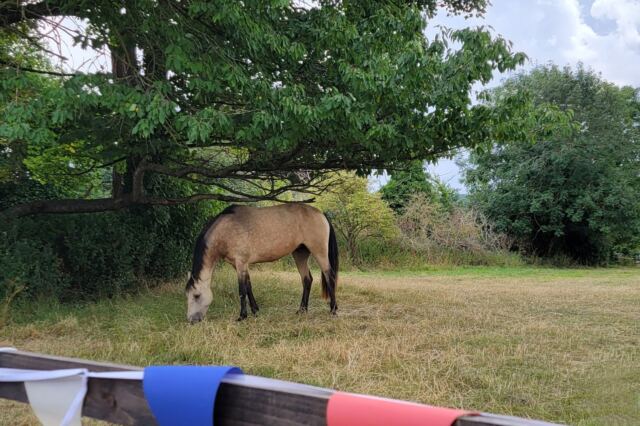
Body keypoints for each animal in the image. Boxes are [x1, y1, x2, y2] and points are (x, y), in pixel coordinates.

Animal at [185, 203, 339, 323]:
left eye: (196, 295)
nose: (191, 320)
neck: (225, 230)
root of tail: (321, 213)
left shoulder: (241, 263)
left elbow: (242, 290)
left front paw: (242, 316)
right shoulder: (240, 265)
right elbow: (248, 287)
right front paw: (255, 311)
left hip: (319, 252)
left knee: (329, 276)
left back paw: (333, 309)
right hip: (300, 254)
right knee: (307, 279)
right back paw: (302, 310)